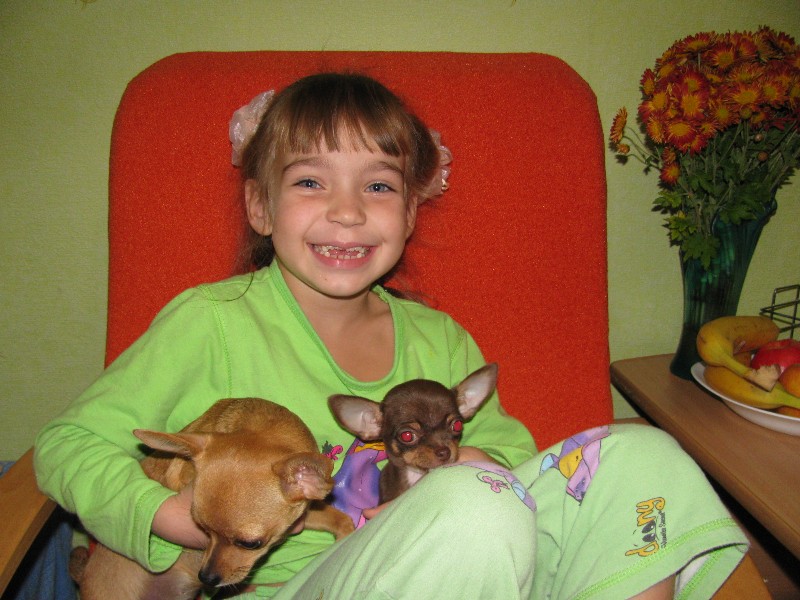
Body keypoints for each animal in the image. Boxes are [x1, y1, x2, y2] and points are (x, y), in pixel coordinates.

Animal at [70, 397, 354, 600]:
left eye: (250, 544)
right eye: (202, 529)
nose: (206, 578)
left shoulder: (301, 515)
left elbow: (342, 520)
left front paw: (343, 540)